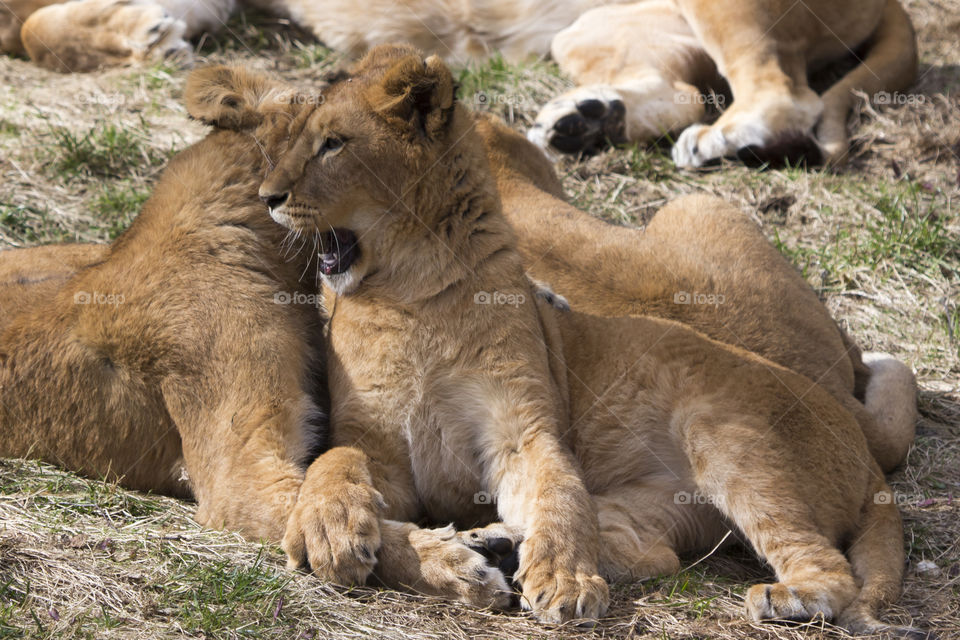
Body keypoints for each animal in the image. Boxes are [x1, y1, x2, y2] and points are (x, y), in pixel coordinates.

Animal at [1, 51, 918, 622]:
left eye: (332, 144)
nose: (276, 196)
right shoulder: (243, 472)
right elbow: (340, 485)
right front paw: (420, 554)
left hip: (730, 421)